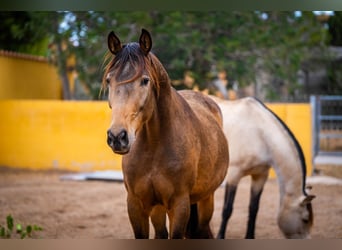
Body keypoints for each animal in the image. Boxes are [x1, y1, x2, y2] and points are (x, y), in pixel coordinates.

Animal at [103, 28, 228, 238]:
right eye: (109, 80)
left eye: (145, 81)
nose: (117, 137)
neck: (154, 145)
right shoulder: (136, 205)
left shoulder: (179, 206)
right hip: (158, 208)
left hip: (205, 199)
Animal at [210, 95, 316, 238]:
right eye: (305, 219)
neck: (260, 133)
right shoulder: (233, 175)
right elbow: (227, 209)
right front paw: (220, 236)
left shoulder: (260, 176)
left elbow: (254, 208)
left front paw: (250, 236)